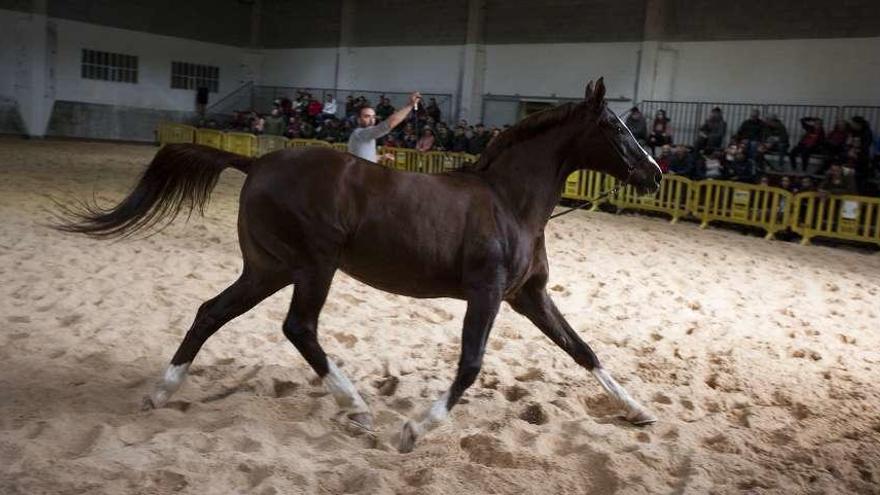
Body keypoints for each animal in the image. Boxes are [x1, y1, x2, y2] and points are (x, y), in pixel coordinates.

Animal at [56, 77, 660, 454]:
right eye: (616, 128)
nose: (654, 174)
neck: (509, 201)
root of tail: (257, 162)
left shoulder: (527, 295)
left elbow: (582, 349)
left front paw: (637, 411)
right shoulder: (486, 294)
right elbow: (470, 366)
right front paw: (413, 431)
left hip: (269, 269)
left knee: (211, 312)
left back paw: (162, 392)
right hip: (313, 266)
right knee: (298, 327)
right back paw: (358, 407)